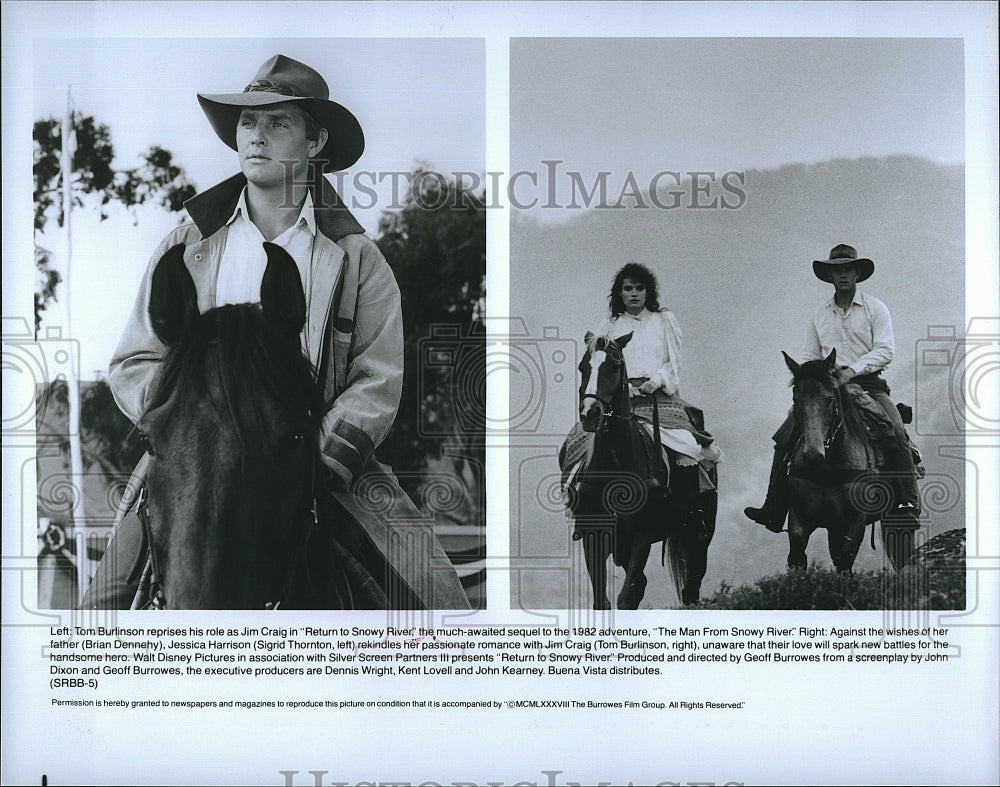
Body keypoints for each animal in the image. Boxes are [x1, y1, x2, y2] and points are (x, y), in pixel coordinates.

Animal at [560, 332, 716, 608]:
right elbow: (603, 601)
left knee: (693, 583)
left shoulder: (643, 534)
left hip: (699, 534)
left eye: (615, 365)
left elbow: (626, 596)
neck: (616, 463)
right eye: (583, 367)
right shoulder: (594, 536)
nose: (591, 413)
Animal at [784, 350, 916, 572]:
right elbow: (797, 556)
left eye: (829, 399)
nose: (812, 455)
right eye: (795, 400)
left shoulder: (855, 519)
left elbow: (846, 559)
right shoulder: (799, 515)